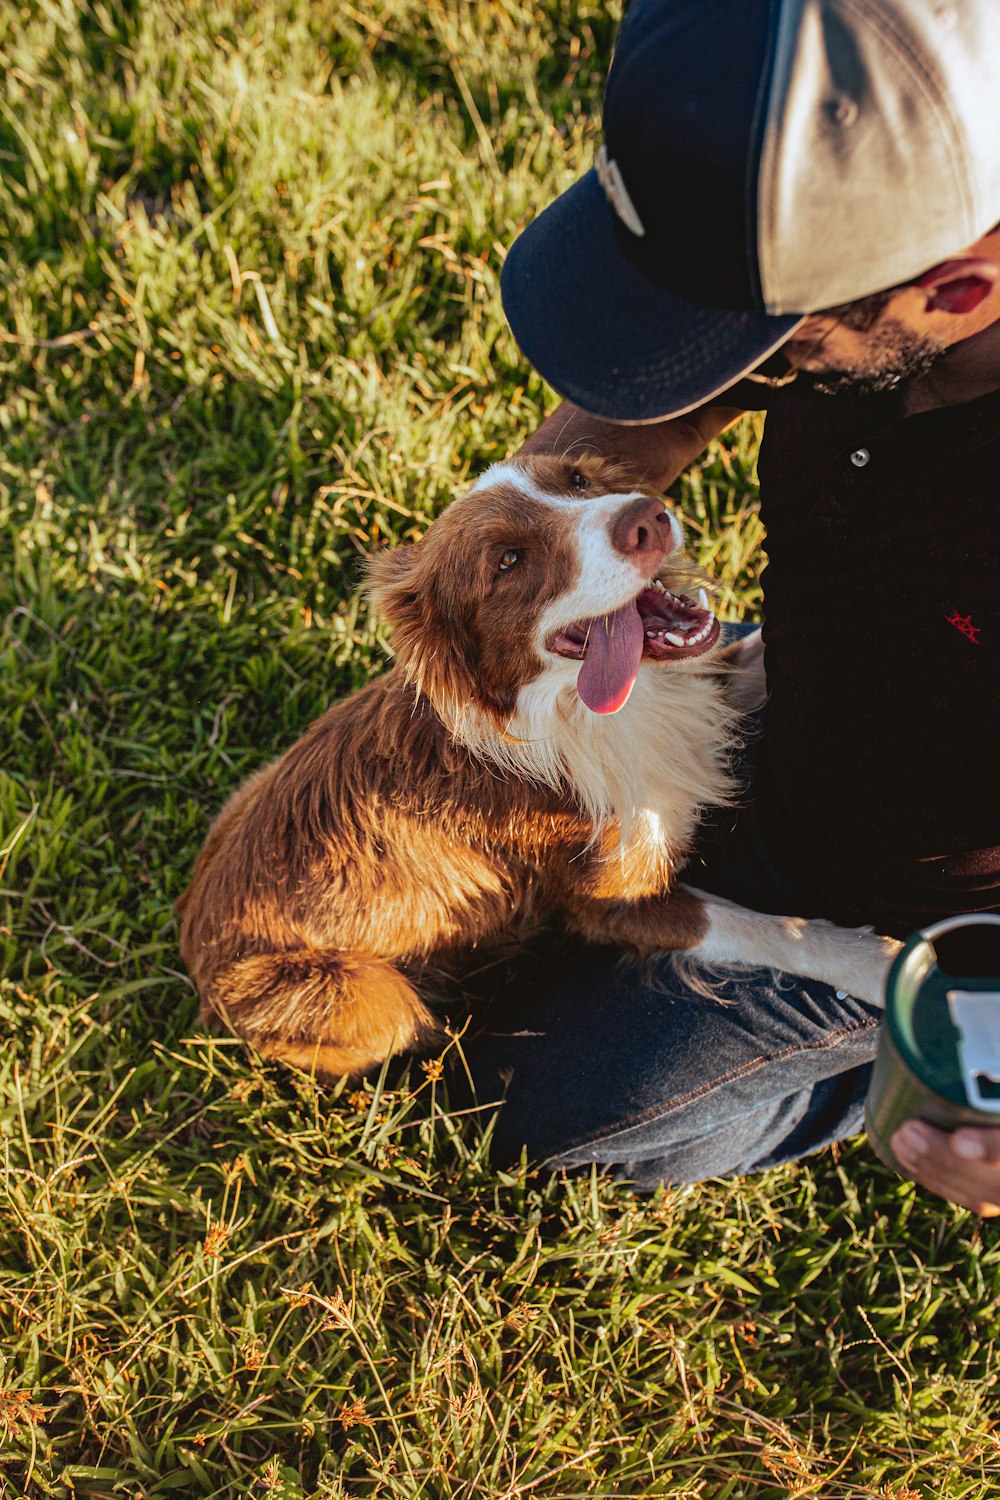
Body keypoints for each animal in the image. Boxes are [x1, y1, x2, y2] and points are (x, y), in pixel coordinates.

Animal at [176, 453, 905, 1080]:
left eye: (576, 479)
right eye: (508, 560)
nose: (646, 517)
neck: (582, 709)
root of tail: (192, 940)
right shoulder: (612, 904)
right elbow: (767, 929)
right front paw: (880, 965)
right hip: (369, 995)